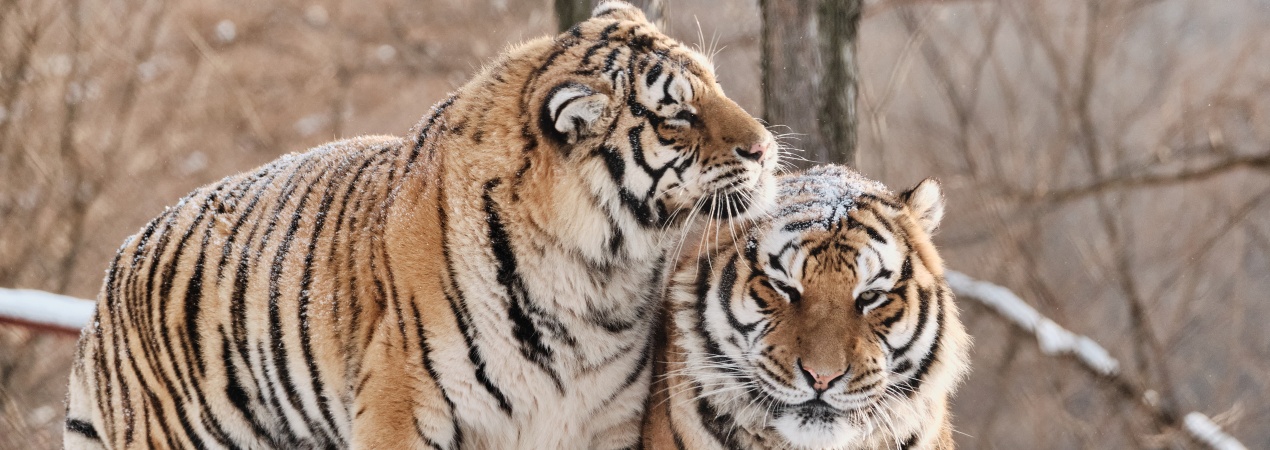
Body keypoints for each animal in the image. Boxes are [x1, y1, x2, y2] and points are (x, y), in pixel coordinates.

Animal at [66, 1, 782, 447]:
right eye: (676, 116)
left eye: (716, 83)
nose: (764, 147)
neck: (600, 274)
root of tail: (117, 265)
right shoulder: (404, 406)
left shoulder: (603, 420)